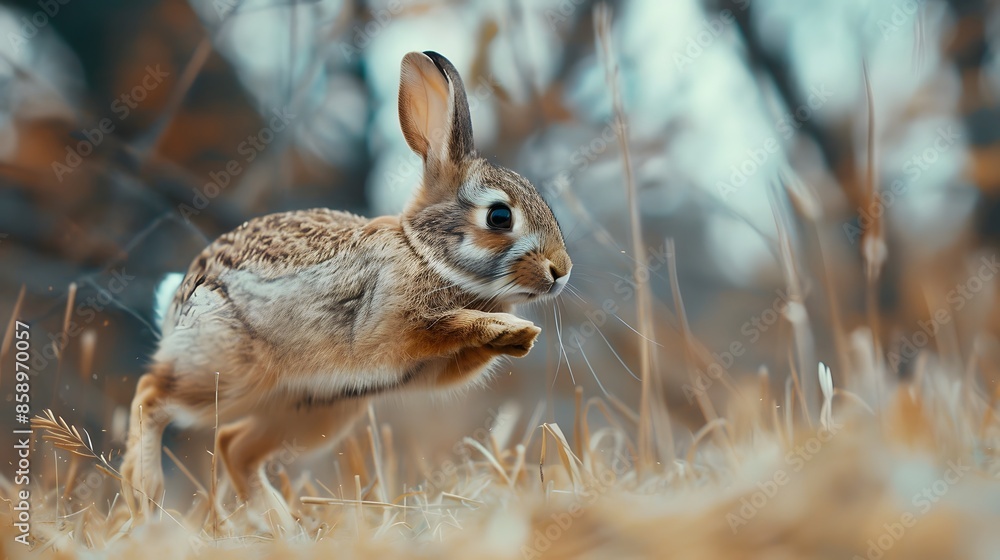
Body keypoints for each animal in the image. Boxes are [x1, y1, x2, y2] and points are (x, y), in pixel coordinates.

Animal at [119, 51, 572, 518]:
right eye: (499, 216)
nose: (561, 270)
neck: (424, 252)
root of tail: (177, 304)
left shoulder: (432, 369)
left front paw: (519, 338)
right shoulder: (394, 325)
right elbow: (445, 324)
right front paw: (508, 328)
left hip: (312, 411)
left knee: (234, 447)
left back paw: (281, 523)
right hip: (225, 371)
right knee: (151, 395)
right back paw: (144, 491)